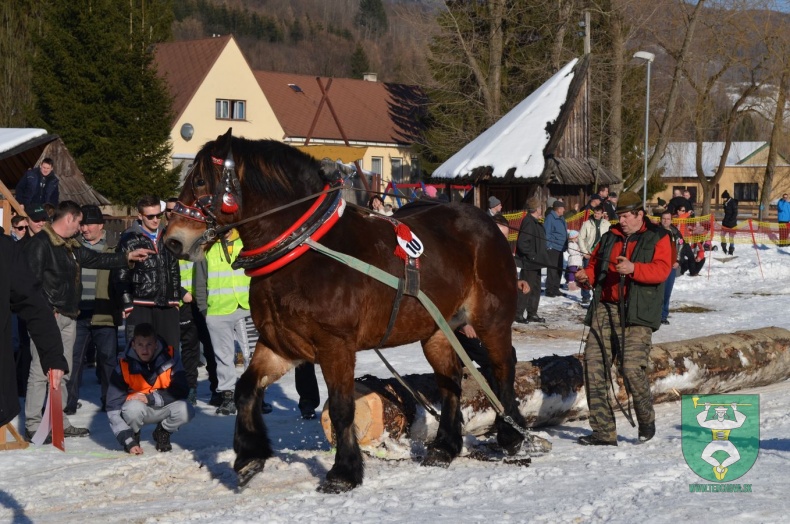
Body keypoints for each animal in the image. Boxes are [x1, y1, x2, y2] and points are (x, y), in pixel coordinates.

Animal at [164, 129, 528, 494]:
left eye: (199, 180)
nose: (172, 241)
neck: (304, 251)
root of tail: (489, 224)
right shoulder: (280, 345)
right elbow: (246, 389)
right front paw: (248, 457)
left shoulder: (335, 345)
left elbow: (341, 408)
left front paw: (344, 472)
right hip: (437, 331)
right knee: (450, 380)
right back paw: (445, 446)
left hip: (491, 320)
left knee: (502, 367)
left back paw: (512, 435)